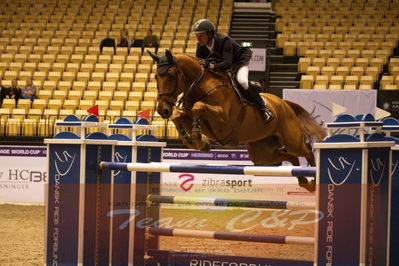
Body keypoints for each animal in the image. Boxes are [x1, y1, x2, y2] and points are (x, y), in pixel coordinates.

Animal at [148, 50, 326, 191]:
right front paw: (195, 141)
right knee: (290, 157)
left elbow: (199, 107)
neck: (201, 85)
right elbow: (179, 116)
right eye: (156, 76)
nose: (162, 110)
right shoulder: (189, 115)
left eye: (171, 75)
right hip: (262, 153)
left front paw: (197, 135)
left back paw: (314, 180)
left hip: (291, 140)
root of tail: (284, 103)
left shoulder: (223, 122)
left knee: (306, 149)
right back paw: (304, 181)